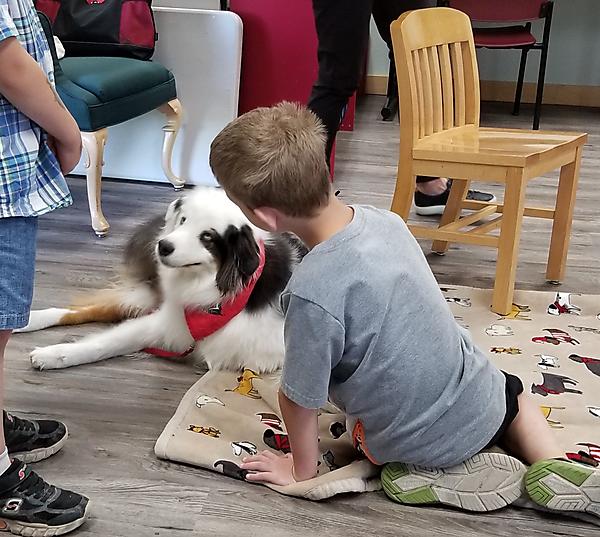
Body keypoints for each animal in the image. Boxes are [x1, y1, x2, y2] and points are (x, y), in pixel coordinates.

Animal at [21, 186, 308, 370]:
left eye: (207, 236)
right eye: (183, 220)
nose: (163, 246)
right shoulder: (170, 321)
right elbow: (107, 342)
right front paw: (56, 355)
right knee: (85, 308)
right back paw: (29, 320)